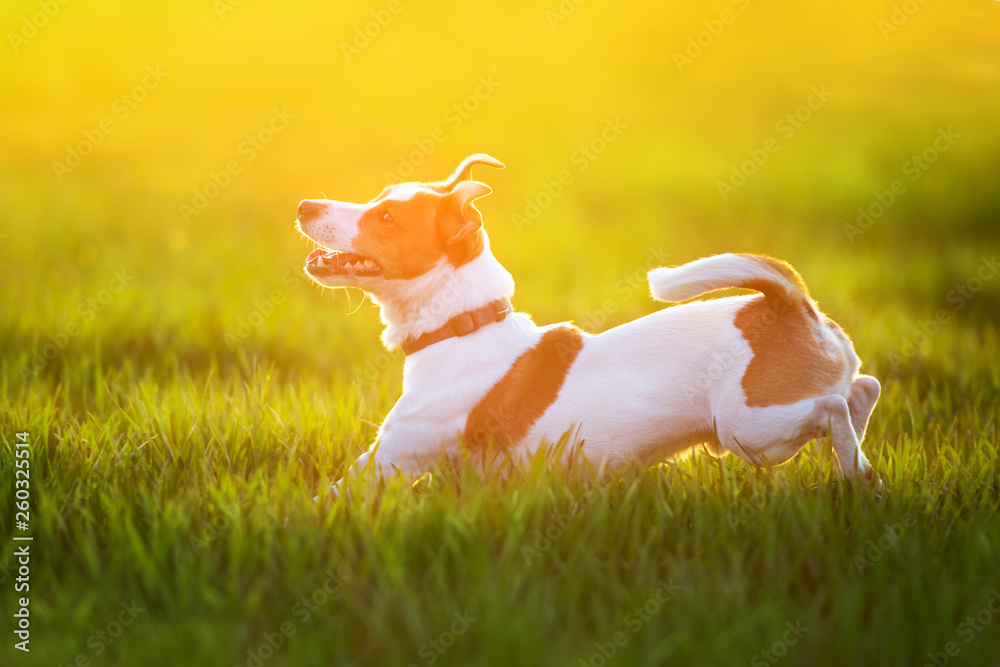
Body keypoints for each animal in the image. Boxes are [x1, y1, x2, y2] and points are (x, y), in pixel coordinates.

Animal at [296, 155, 884, 490]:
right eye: (378, 200)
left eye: (386, 217)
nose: (304, 204)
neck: (464, 325)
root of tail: (789, 303)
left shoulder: (389, 462)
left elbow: (332, 496)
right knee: (863, 390)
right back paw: (861, 471)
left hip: (751, 431)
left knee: (834, 407)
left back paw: (854, 466)